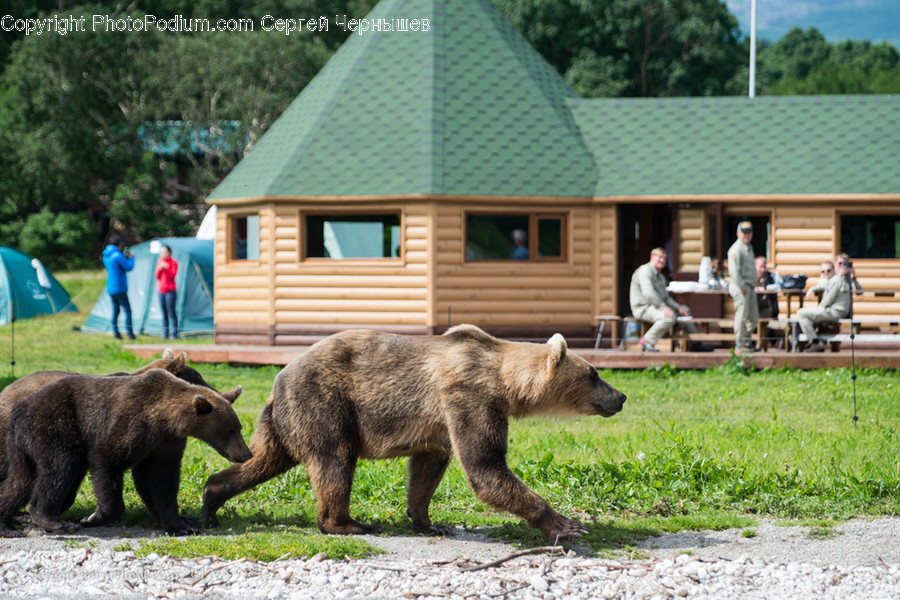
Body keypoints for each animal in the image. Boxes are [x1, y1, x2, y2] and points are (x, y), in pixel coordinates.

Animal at [0, 368, 252, 537]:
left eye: (238, 427)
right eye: (230, 429)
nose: (246, 454)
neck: (165, 419)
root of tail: (19, 409)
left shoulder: (163, 445)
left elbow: (162, 481)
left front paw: (182, 526)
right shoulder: (131, 424)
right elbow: (107, 462)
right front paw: (93, 517)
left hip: (23, 446)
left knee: (21, 481)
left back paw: (8, 525)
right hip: (53, 427)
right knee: (59, 467)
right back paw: (53, 520)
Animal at [202, 325, 626, 542]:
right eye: (594, 372)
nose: (620, 396)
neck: (503, 382)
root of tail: (279, 378)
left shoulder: (439, 422)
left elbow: (428, 467)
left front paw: (428, 520)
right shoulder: (469, 396)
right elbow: (486, 466)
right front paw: (567, 524)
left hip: (286, 422)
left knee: (262, 459)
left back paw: (211, 498)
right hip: (326, 404)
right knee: (334, 462)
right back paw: (348, 523)